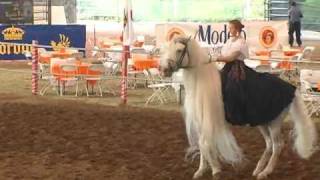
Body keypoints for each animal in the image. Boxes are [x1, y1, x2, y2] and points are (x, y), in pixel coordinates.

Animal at [161, 36, 316, 179]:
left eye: (179, 50)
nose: (163, 70)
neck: (202, 85)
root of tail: (291, 88)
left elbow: (205, 144)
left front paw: (216, 170)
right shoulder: (201, 123)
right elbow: (201, 144)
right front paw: (200, 171)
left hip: (274, 124)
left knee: (277, 146)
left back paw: (265, 172)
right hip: (262, 123)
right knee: (269, 144)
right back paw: (258, 169)